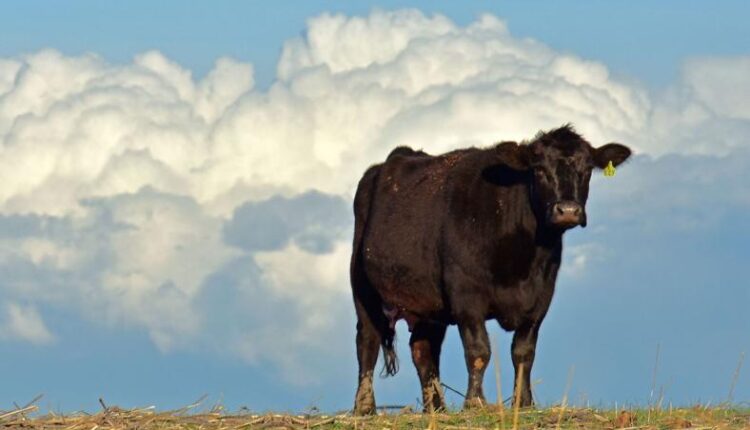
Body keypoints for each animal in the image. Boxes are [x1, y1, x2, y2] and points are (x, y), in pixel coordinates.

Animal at [349, 124, 632, 414]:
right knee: (367, 342)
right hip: (363, 288)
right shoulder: (466, 295)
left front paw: (524, 403)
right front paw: (475, 402)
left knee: (423, 350)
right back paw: (365, 407)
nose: (567, 210)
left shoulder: (541, 297)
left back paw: (436, 409)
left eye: (587, 169)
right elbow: (479, 350)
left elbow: (523, 352)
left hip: (429, 303)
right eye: (539, 169)